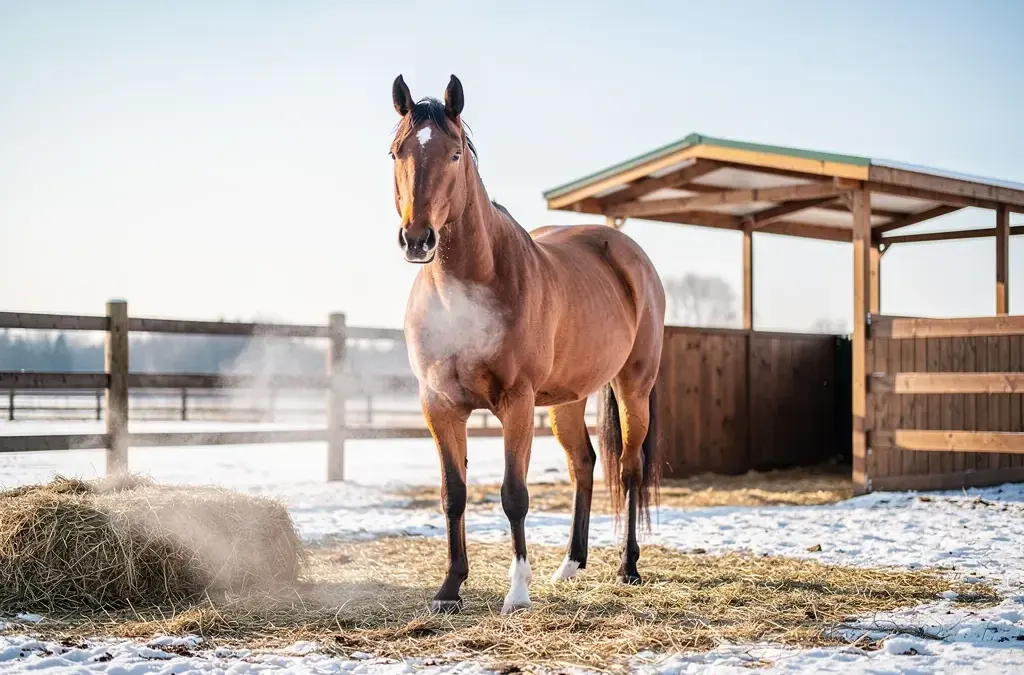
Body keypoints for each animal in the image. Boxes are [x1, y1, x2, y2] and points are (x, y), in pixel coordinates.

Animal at [390, 73, 666, 614]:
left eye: (455, 154)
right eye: (396, 152)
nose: (417, 239)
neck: (468, 291)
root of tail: (629, 253)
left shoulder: (515, 403)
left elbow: (513, 494)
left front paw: (517, 593)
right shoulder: (439, 405)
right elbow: (453, 495)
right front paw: (449, 589)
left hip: (634, 387)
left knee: (628, 470)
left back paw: (628, 568)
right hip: (567, 399)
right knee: (584, 464)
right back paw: (570, 565)